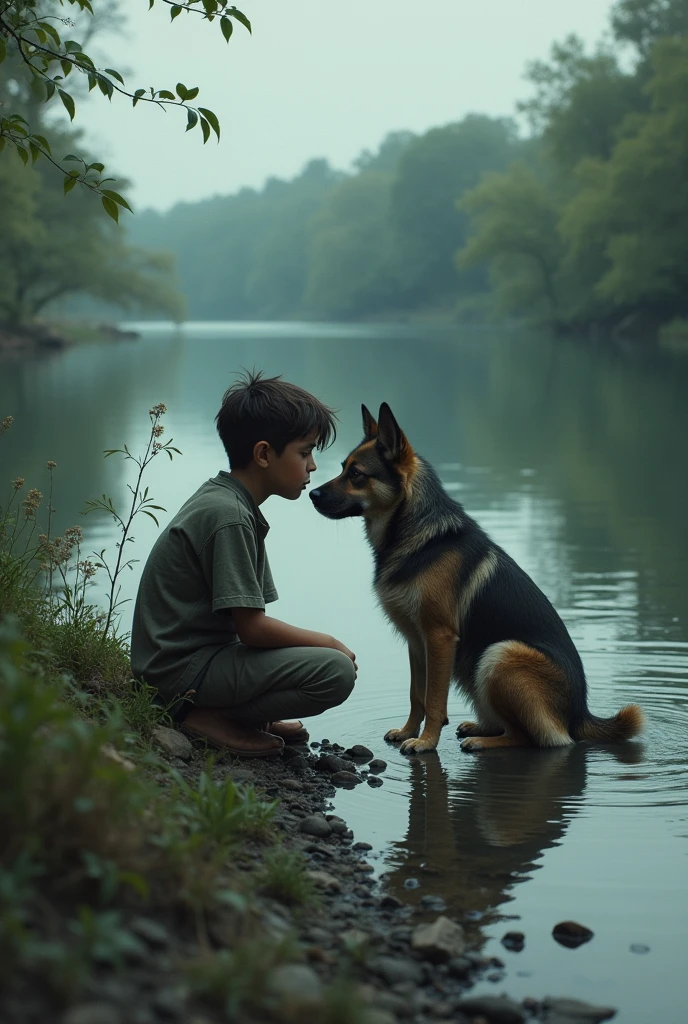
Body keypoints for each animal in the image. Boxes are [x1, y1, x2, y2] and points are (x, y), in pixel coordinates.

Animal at [309, 403, 642, 757]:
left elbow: (434, 700)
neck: (418, 534)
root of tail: (579, 715)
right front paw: (408, 731)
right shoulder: (416, 641)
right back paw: (479, 726)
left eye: (356, 474)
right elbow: (417, 695)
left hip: (500, 656)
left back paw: (483, 741)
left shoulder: (439, 638)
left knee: (528, 737)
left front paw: (426, 741)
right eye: (343, 468)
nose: (312, 494)